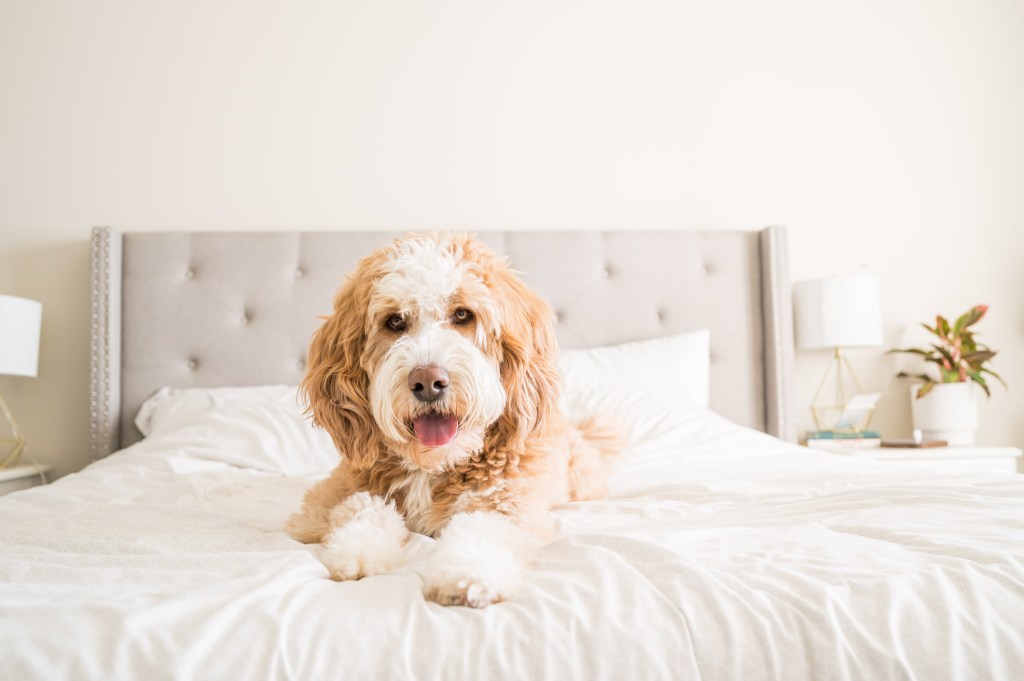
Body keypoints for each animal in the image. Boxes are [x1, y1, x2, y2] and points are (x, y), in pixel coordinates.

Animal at [290, 232, 622, 606]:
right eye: (395, 321)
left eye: (463, 314)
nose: (427, 382)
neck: (434, 464)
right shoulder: (321, 503)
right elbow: (362, 505)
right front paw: (357, 549)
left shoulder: (510, 501)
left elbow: (481, 528)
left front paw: (467, 573)